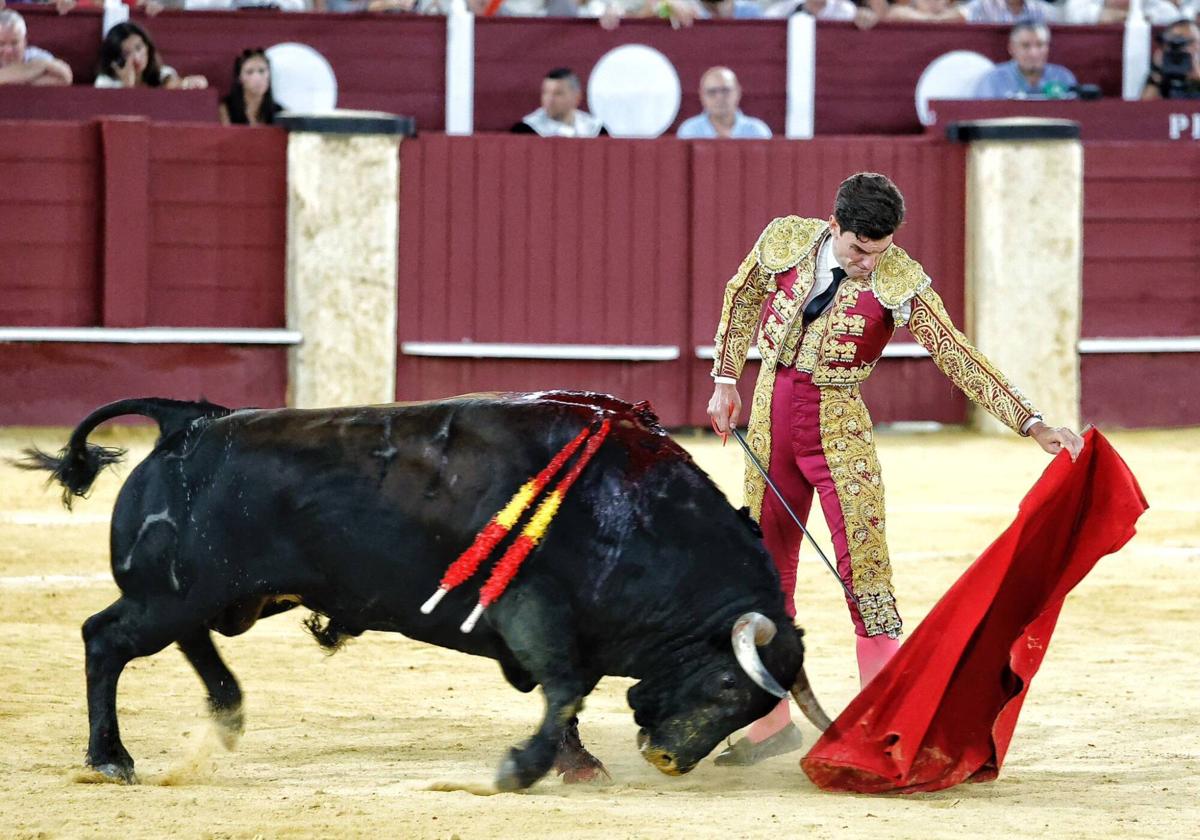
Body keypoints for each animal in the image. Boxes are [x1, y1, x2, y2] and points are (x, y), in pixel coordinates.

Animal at [21, 391, 825, 792]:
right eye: (727, 686)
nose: (669, 761)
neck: (635, 513)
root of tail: (190, 424)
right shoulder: (536, 611)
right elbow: (565, 687)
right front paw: (523, 770)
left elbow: (569, 693)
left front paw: (573, 764)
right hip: (170, 597)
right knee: (105, 639)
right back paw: (112, 759)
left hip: (209, 597)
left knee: (183, 642)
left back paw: (227, 711)